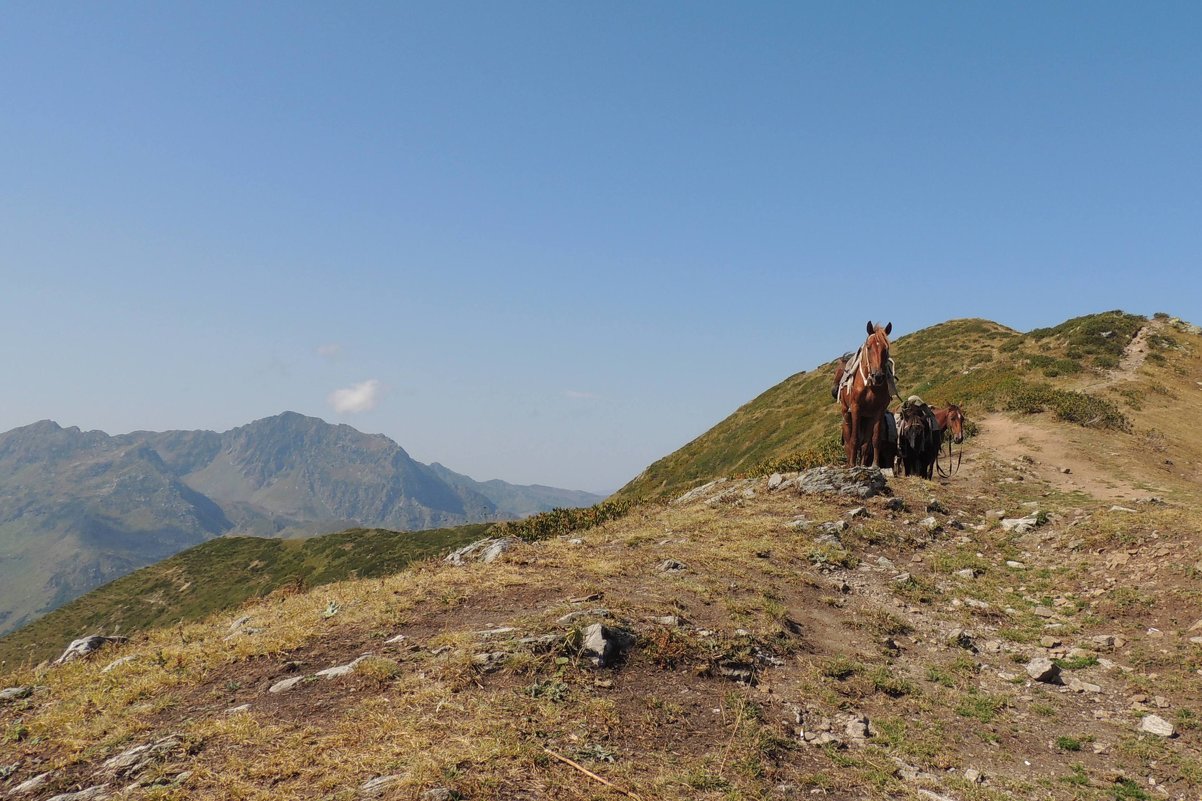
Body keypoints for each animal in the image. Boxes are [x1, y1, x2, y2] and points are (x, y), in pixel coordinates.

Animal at [841, 319, 899, 464]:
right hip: (847, 414)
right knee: (849, 441)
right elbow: (854, 440)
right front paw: (852, 465)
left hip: (868, 418)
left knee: (865, 445)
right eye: (868, 347)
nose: (878, 376)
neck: (871, 386)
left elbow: (875, 440)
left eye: (886, 348)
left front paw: (875, 465)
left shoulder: (879, 411)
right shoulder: (855, 408)